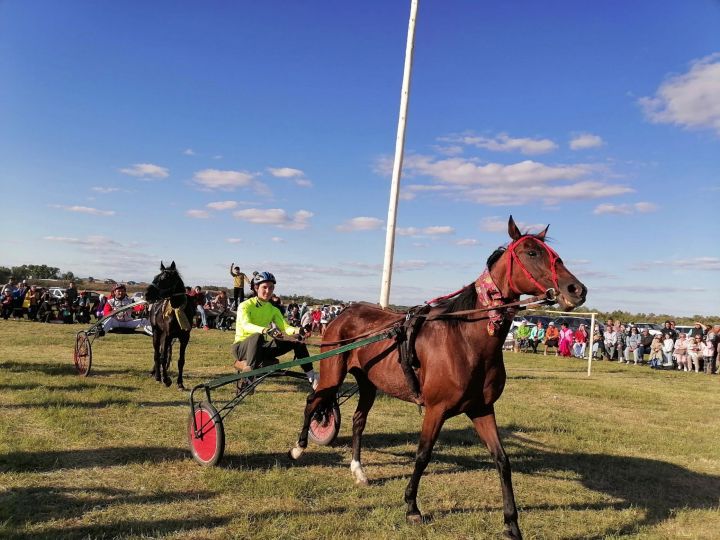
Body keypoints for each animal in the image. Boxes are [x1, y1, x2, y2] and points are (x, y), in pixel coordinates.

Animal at [144, 260, 195, 390]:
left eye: (165, 278)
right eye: (155, 276)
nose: (146, 294)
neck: (178, 309)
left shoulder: (184, 338)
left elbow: (181, 360)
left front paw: (180, 383)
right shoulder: (168, 336)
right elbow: (162, 358)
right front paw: (166, 380)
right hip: (157, 333)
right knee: (157, 354)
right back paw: (158, 376)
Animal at [290, 217, 588, 536]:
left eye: (554, 253)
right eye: (531, 252)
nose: (577, 289)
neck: (465, 340)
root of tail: (345, 313)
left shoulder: (482, 409)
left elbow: (502, 460)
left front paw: (511, 523)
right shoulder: (436, 409)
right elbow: (423, 455)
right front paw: (411, 507)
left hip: (368, 382)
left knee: (359, 421)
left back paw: (358, 470)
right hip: (333, 373)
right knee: (313, 400)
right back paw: (299, 447)